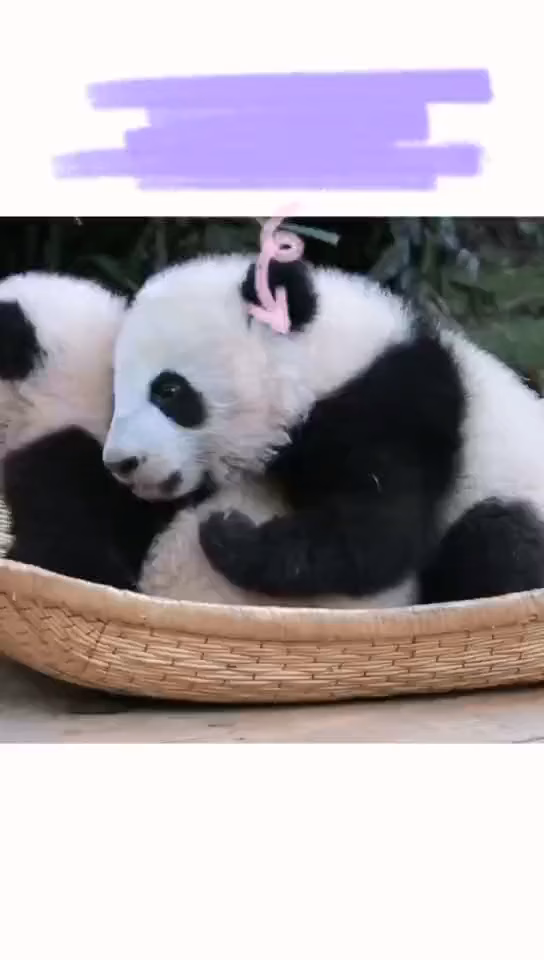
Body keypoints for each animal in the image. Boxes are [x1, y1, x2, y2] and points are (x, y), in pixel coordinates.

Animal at [101, 251, 544, 608]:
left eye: (168, 390)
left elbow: (376, 536)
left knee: (500, 542)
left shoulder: (393, 410)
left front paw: (229, 533)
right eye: (116, 391)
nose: (121, 462)